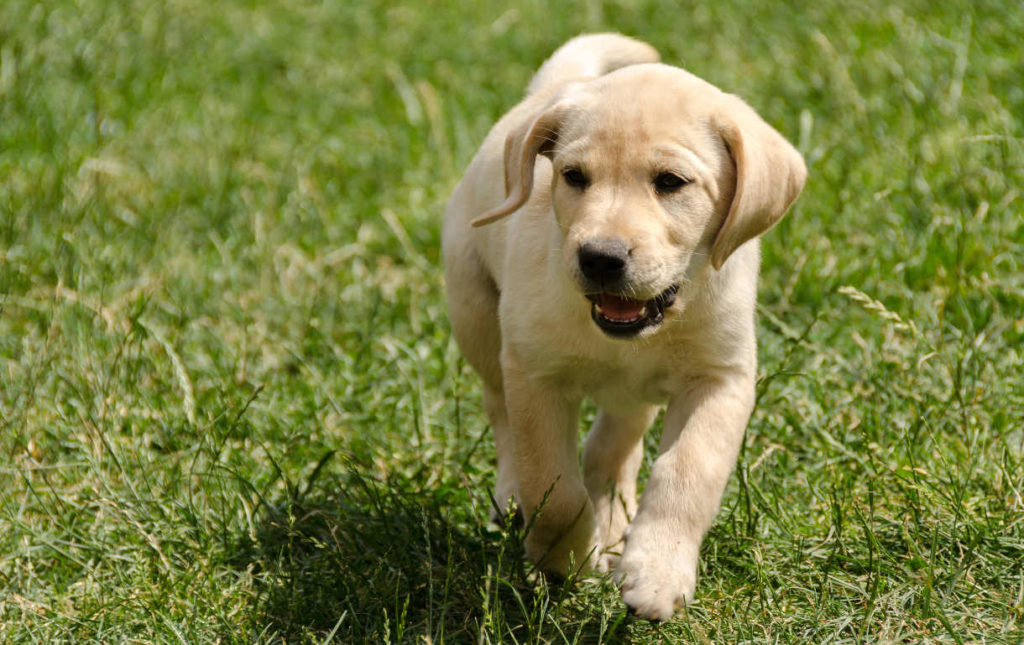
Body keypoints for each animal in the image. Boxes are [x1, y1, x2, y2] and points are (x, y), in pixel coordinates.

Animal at [444, 32, 802, 618]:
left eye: (671, 182)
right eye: (573, 177)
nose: (600, 258)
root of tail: (557, 87)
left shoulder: (721, 378)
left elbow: (687, 472)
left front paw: (655, 572)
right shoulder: (535, 373)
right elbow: (554, 487)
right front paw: (567, 560)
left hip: (632, 392)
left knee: (614, 443)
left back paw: (616, 522)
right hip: (475, 313)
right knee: (501, 413)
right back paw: (519, 498)